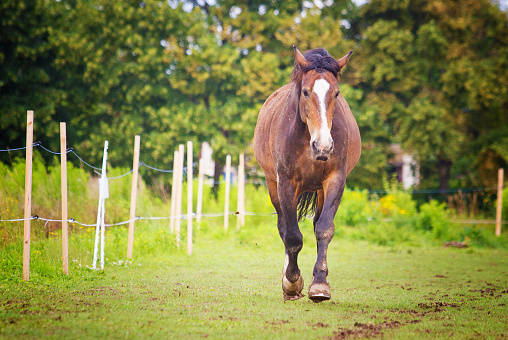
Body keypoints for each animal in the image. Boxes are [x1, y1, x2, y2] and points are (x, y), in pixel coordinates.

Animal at [254, 45, 362, 302]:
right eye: (305, 92)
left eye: (336, 93)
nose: (323, 146)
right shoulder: (285, 183)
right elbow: (292, 235)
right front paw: (292, 282)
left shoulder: (335, 180)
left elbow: (324, 229)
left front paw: (320, 284)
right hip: (273, 185)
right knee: (284, 227)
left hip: (320, 189)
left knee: (315, 224)